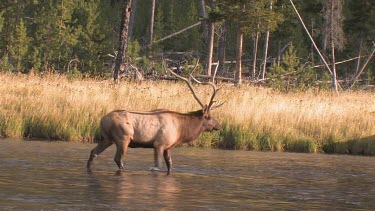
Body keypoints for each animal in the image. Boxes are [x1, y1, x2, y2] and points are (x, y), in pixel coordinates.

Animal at [87, 62, 223, 175]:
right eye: (209, 117)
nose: (219, 126)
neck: (181, 129)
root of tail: (102, 120)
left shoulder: (168, 147)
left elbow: (170, 166)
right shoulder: (159, 144)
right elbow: (156, 166)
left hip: (107, 138)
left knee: (93, 152)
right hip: (123, 138)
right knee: (117, 158)